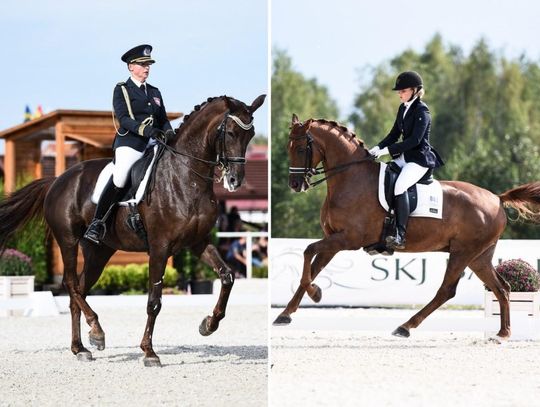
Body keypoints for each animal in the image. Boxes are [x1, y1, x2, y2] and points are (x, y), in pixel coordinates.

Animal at [0, 95, 266, 366]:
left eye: (251, 134)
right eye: (231, 132)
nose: (235, 181)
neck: (187, 178)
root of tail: (57, 180)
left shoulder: (198, 242)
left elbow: (227, 277)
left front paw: (208, 324)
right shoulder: (159, 247)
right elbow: (154, 301)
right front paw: (149, 352)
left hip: (98, 252)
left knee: (79, 290)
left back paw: (81, 347)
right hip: (68, 240)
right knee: (71, 284)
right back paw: (97, 331)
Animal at [274, 115, 540, 342]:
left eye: (300, 149)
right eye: (288, 148)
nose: (295, 185)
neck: (351, 178)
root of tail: (496, 199)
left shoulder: (348, 239)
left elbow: (308, 251)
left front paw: (315, 294)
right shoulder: (333, 239)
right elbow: (312, 267)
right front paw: (285, 314)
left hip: (463, 252)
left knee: (446, 291)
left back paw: (405, 327)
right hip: (479, 256)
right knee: (502, 288)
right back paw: (503, 333)